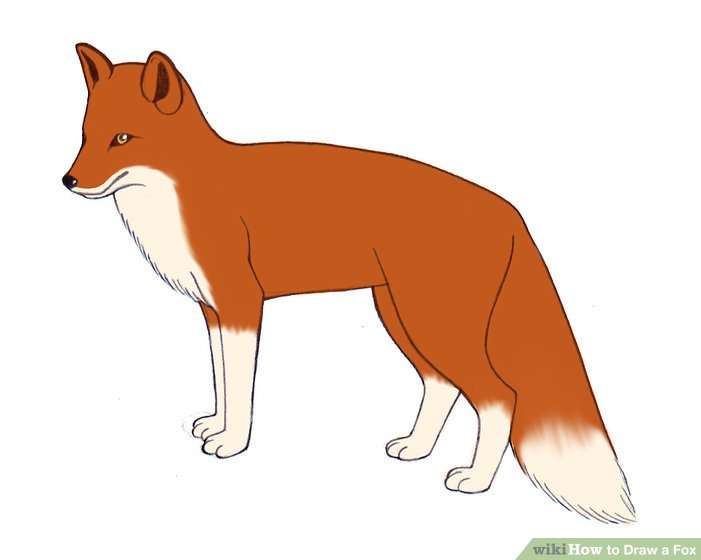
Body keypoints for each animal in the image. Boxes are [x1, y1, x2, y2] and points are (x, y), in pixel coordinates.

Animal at [63, 43, 635, 523]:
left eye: (123, 139)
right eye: (87, 136)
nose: (69, 181)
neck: (183, 194)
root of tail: (507, 207)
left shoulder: (243, 304)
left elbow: (242, 389)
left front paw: (233, 443)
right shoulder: (214, 311)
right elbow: (223, 381)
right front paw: (216, 425)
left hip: (434, 323)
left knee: (501, 397)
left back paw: (474, 480)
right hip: (401, 316)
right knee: (442, 385)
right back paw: (416, 448)